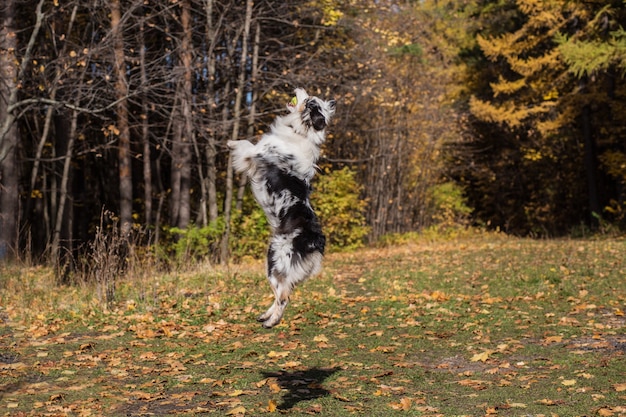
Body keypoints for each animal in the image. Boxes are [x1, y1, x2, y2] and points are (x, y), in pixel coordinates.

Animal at [228, 88, 334, 328]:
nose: (297, 89)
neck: (301, 132)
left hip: (274, 260)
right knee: (284, 292)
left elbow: (245, 144)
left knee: (283, 297)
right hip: (282, 269)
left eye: (309, 100)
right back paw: (266, 315)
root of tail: (316, 242)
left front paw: (229, 142)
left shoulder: (256, 153)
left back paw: (271, 322)